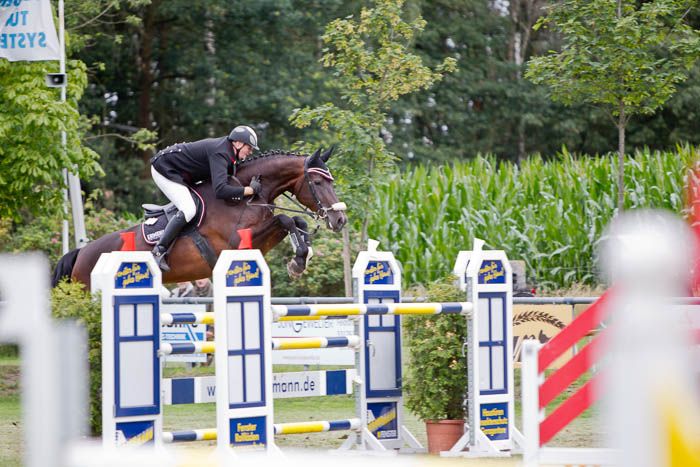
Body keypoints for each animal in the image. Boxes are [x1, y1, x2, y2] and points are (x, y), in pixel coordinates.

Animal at [52, 148, 347, 289]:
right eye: (318, 182)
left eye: (331, 180)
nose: (340, 220)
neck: (245, 197)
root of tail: (80, 253)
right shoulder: (236, 244)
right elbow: (286, 221)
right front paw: (298, 261)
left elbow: (296, 223)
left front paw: (301, 258)